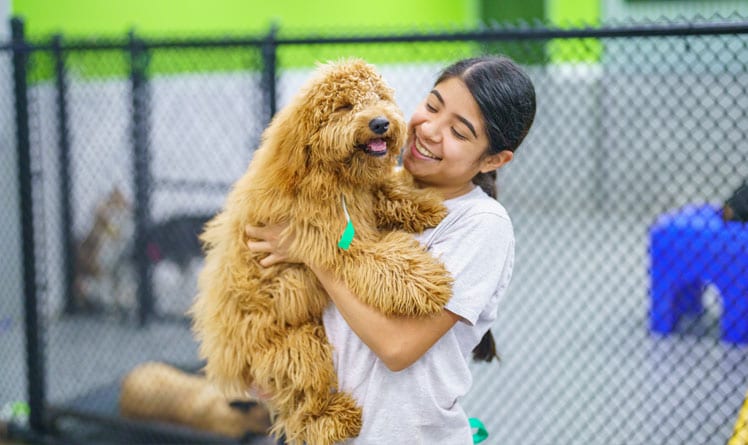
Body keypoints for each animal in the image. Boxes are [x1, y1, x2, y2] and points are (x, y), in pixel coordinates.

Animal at [190, 59, 452, 444]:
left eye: (378, 97)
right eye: (343, 106)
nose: (380, 123)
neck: (333, 175)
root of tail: (226, 358)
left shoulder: (362, 195)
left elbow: (383, 190)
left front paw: (421, 203)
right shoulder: (336, 243)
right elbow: (381, 258)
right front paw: (427, 281)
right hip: (299, 346)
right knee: (302, 405)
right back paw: (335, 417)